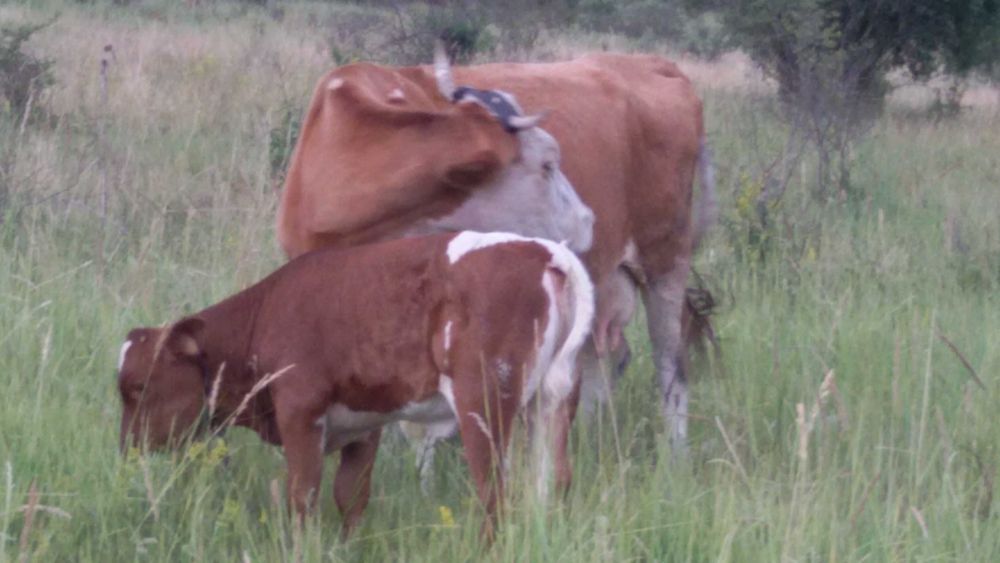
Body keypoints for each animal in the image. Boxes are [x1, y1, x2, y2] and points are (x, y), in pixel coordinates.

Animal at [117, 231, 594, 536]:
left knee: (495, 492)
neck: (267, 313)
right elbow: (350, 496)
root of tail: (545, 250)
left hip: (484, 402)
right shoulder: (364, 424)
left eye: (138, 386)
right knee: (554, 481)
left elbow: (302, 496)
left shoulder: (300, 412)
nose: (127, 451)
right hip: (554, 401)